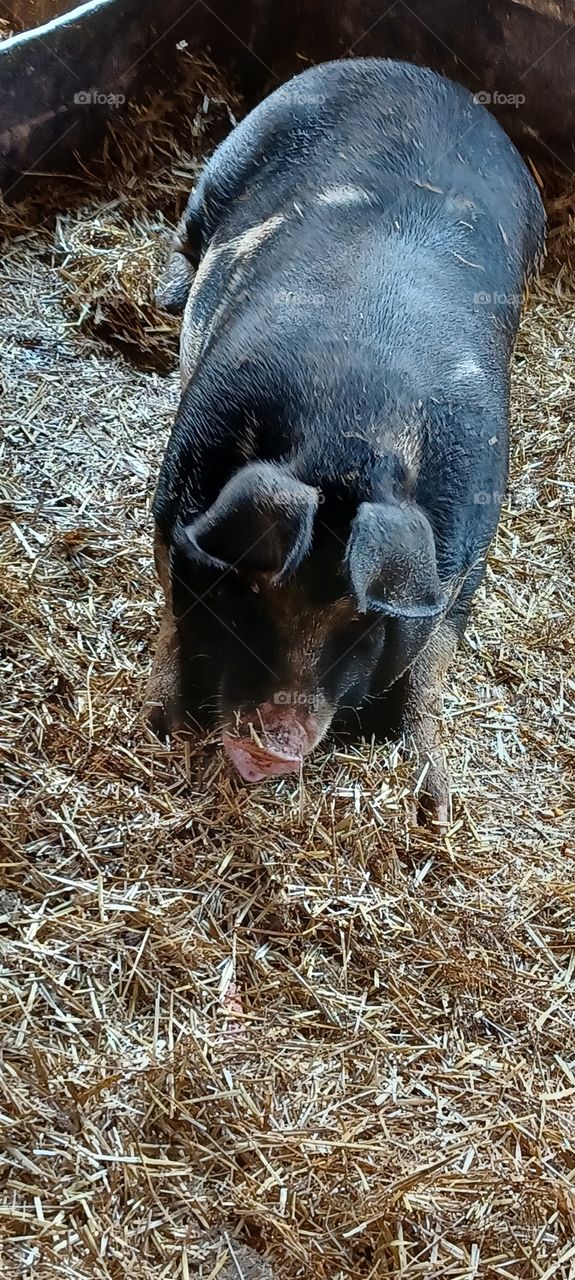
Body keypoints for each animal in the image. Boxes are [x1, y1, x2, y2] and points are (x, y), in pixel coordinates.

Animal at [146, 57, 545, 827]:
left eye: (361, 621)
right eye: (249, 589)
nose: (274, 741)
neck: (352, 433)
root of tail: (414, 72)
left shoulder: (463, 561)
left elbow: (430, 669)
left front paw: (436, 806)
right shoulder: (176, 494)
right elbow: (172, 608)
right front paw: (165, 729)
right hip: (229, 162)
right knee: (187, 234)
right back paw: (167, 293)